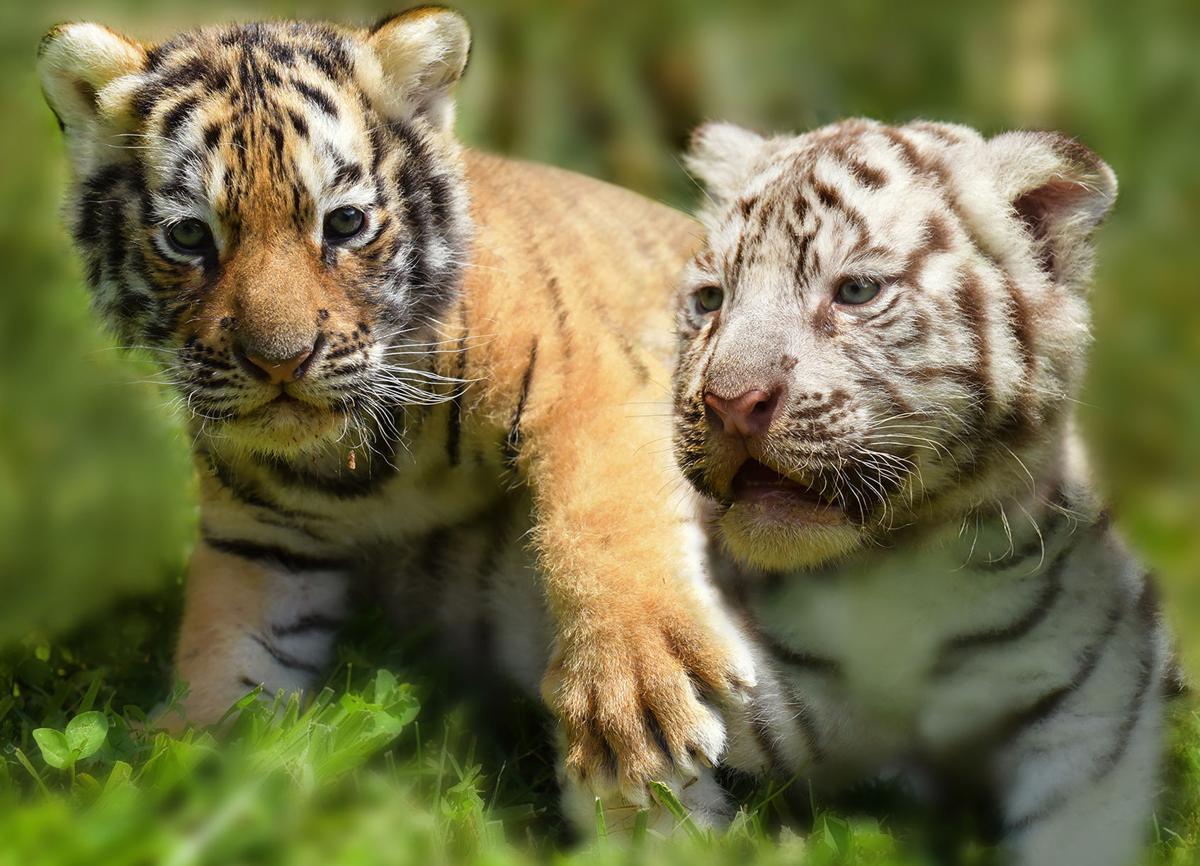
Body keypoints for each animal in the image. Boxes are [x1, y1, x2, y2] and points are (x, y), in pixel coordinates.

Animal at [36, 7, 757, 820]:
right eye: (190, 236)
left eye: (344, 224)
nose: (280, 361)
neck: (364, 459)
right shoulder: (260, 538)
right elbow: (226, 650)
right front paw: (174, 767)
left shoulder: (587, 381)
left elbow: (602, 523)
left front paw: (630, 703)